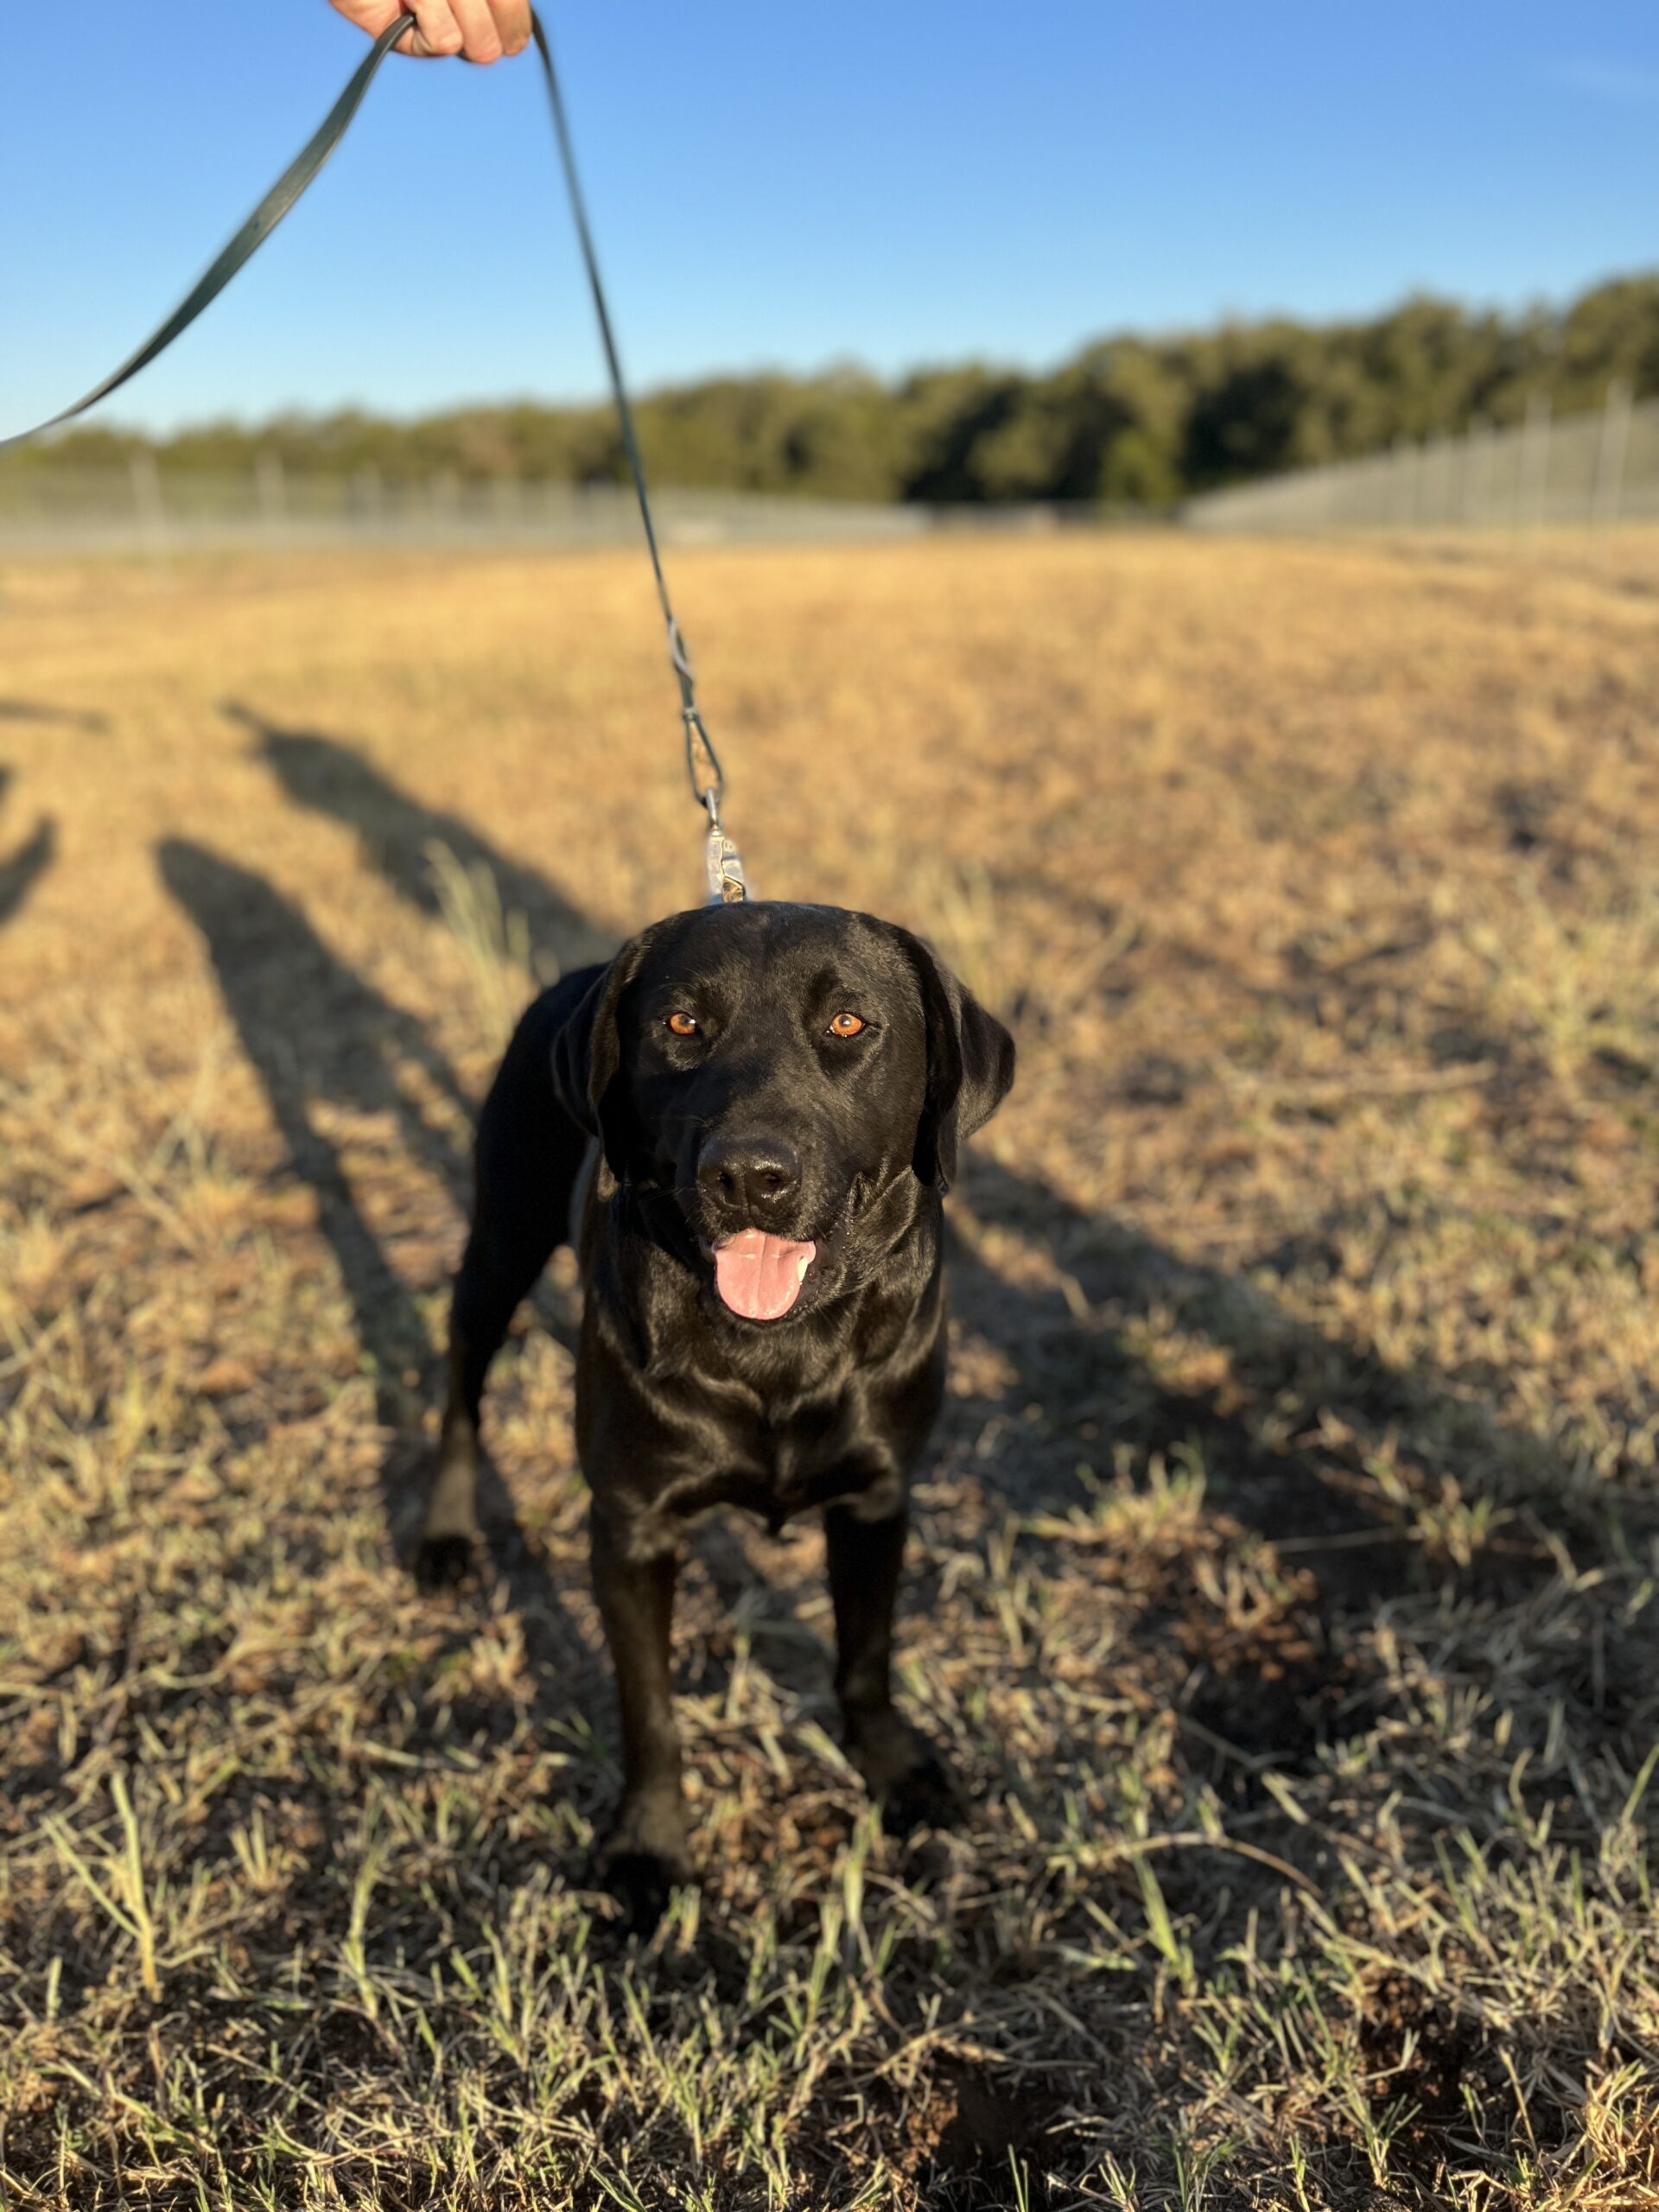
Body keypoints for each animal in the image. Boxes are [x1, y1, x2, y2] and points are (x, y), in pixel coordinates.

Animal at [417, 893, 1013, 1920]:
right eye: (682, 1024)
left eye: (847, 1024)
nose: (749, 1176)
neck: (777, 1350)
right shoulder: (631, 1526)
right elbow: (649, 1709)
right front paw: (649, 1850)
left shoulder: (877, 1498)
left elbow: (866, 1654)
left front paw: (894, 1769)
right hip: (500, 1241)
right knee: (463, 1387)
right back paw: (448, 1534)